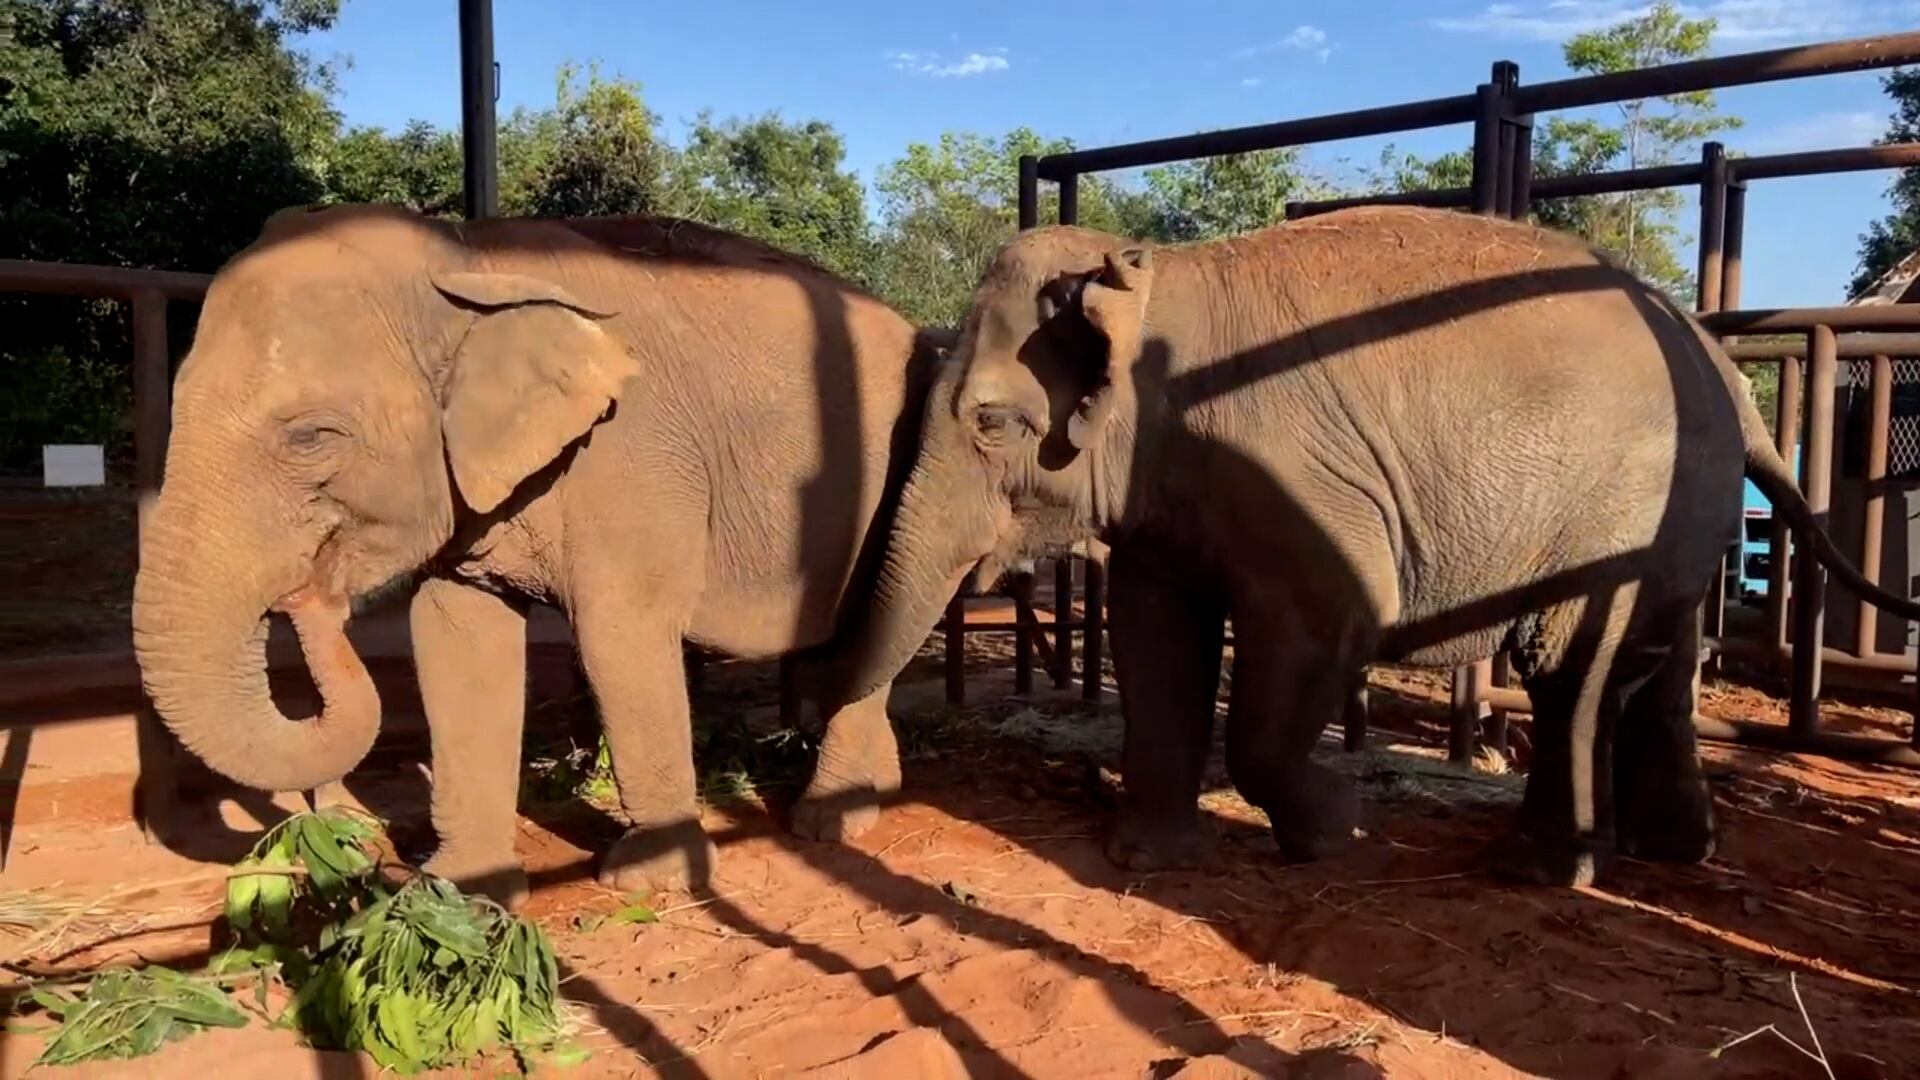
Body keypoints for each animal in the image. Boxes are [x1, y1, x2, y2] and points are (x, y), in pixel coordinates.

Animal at [131, 199, 948, 899]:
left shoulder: (631, 453)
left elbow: (621, 633)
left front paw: (645, 881)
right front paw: (463, 890)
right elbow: (454, 638)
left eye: (311, 437)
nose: (310, 595)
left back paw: (831, 820)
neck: (468, 259)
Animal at [817, 205, 1920, 887]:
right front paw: (1147, 862)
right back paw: (1676, 853)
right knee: (1661, 662)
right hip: (1685, 516)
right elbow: (1153, 639)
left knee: (1572, 663)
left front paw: (1341, 833)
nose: (831, 813)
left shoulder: (1292, 474)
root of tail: (1728, 372)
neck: (1149, 274)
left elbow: (1320, 629)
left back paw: (1545, 871)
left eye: (991, 423)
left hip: (1626, 504)